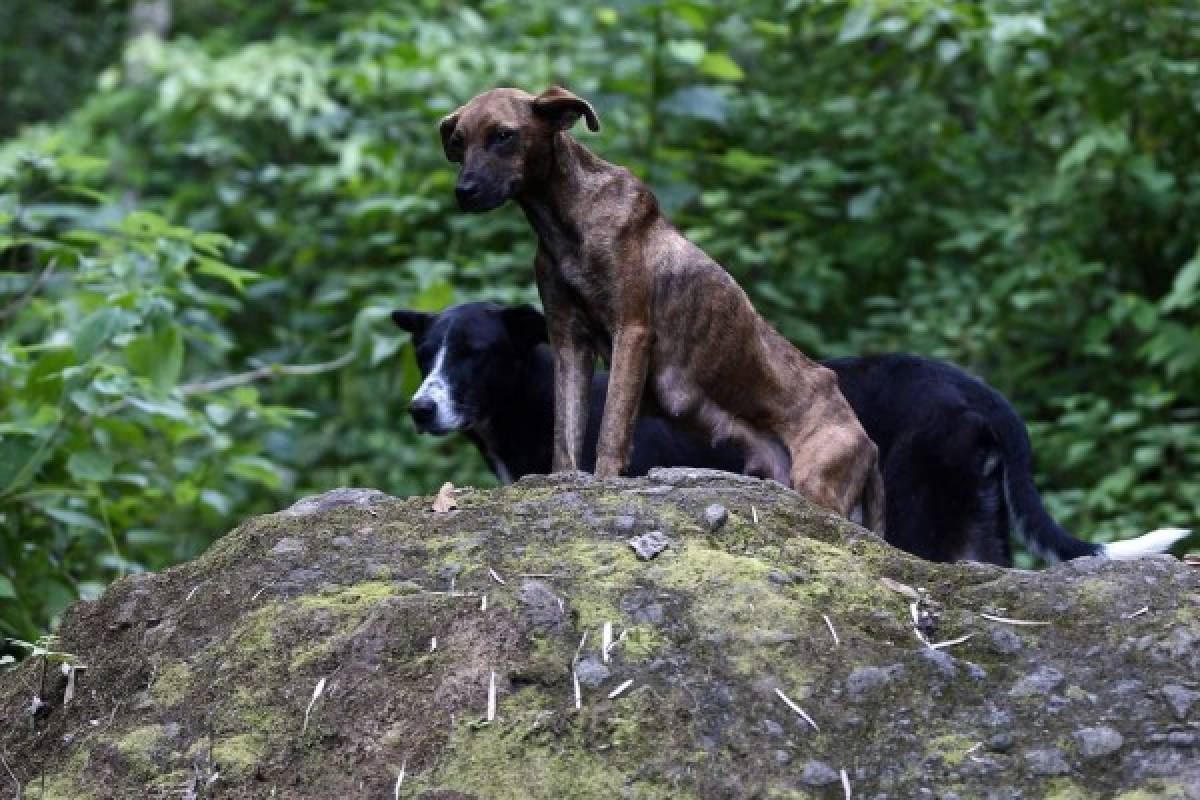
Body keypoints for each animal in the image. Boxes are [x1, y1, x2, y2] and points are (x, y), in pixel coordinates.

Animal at [396, 302, 1190, 568]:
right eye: (425, 352)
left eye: (474, 353)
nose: (419, 408)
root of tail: (976, 388)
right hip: (974, 523)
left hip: (917, 515)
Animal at [439, 87, 883, 532]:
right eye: (459, 142)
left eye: (503, 135)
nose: (464, 191)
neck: (567, 220)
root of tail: (868, 442)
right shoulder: (569, 345)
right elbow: (565, 437)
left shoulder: (632, 333)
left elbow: (611, 431)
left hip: (818, 485)